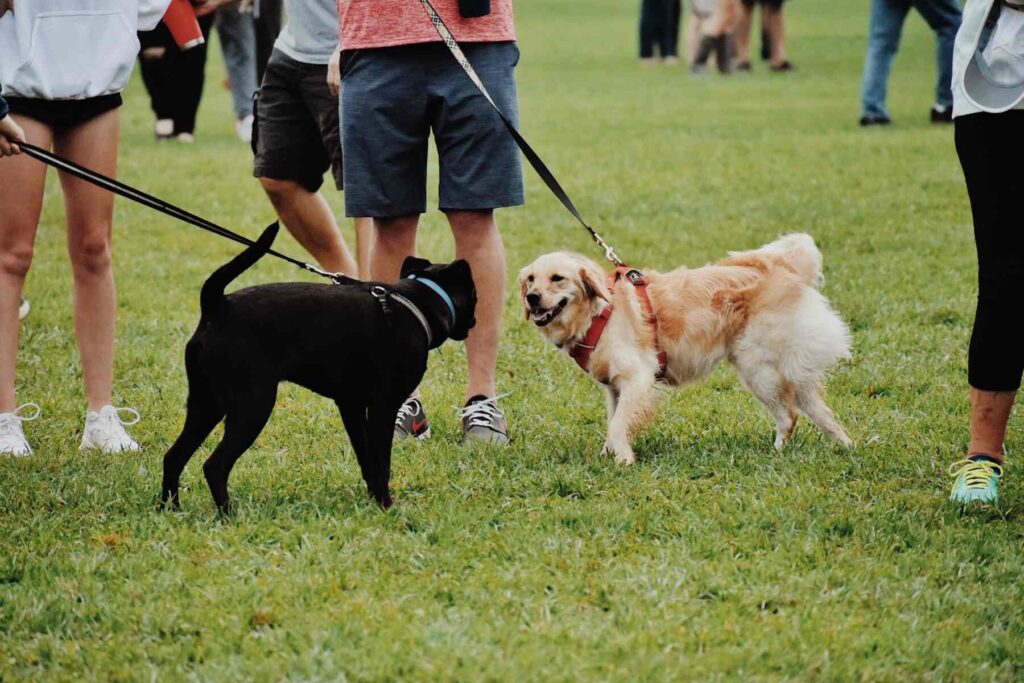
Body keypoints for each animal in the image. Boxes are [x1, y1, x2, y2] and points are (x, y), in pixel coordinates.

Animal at [160, 224, 479, 511]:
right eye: (476, 295)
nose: (475, 322)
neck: (417, 303)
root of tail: (217, 305)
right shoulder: (383, 407)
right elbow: (381, 461)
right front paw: (386, 505)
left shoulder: (350, 405)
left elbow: (366, 458)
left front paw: (373, 498)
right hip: (252, 406)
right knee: (214, 466)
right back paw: (228, 514)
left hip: (205, 405)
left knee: (173, 457)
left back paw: (170, 508)